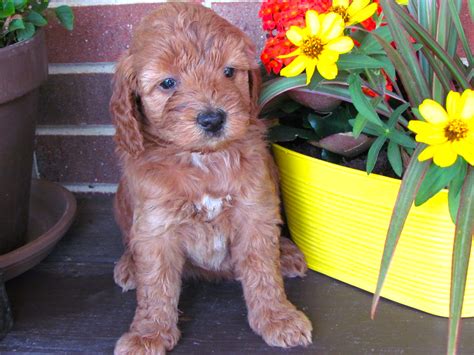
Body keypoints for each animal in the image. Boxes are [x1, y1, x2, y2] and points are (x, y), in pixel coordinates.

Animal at [109, 2, 312, 354]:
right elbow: (155, 286)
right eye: (167, 83)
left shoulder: (254, 210)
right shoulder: (156, 226)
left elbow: (263, 271)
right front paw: (148, 334)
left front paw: (278, 318)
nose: (213, 119)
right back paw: (128, 266)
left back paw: (286, 252)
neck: (204, 162)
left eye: (229, 72)